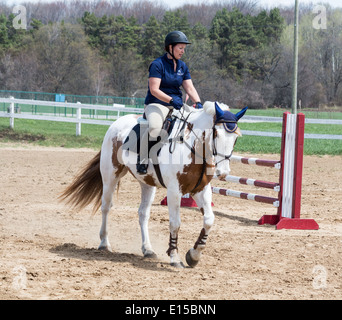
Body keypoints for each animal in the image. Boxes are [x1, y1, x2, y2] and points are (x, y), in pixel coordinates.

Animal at [60, 102, 246, 268]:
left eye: (236, 138)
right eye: (216, 134)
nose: (223, 172)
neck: (192, 146)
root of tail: (116, 124)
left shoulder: (201, 190)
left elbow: (209, 220)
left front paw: (193, 256)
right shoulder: (174, 191)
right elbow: (175, 223)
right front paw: (175, 258)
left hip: (147, 184)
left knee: (143, 213)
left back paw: (148, 249)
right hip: (110, 175)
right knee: (106, 206)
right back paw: (104, 243)